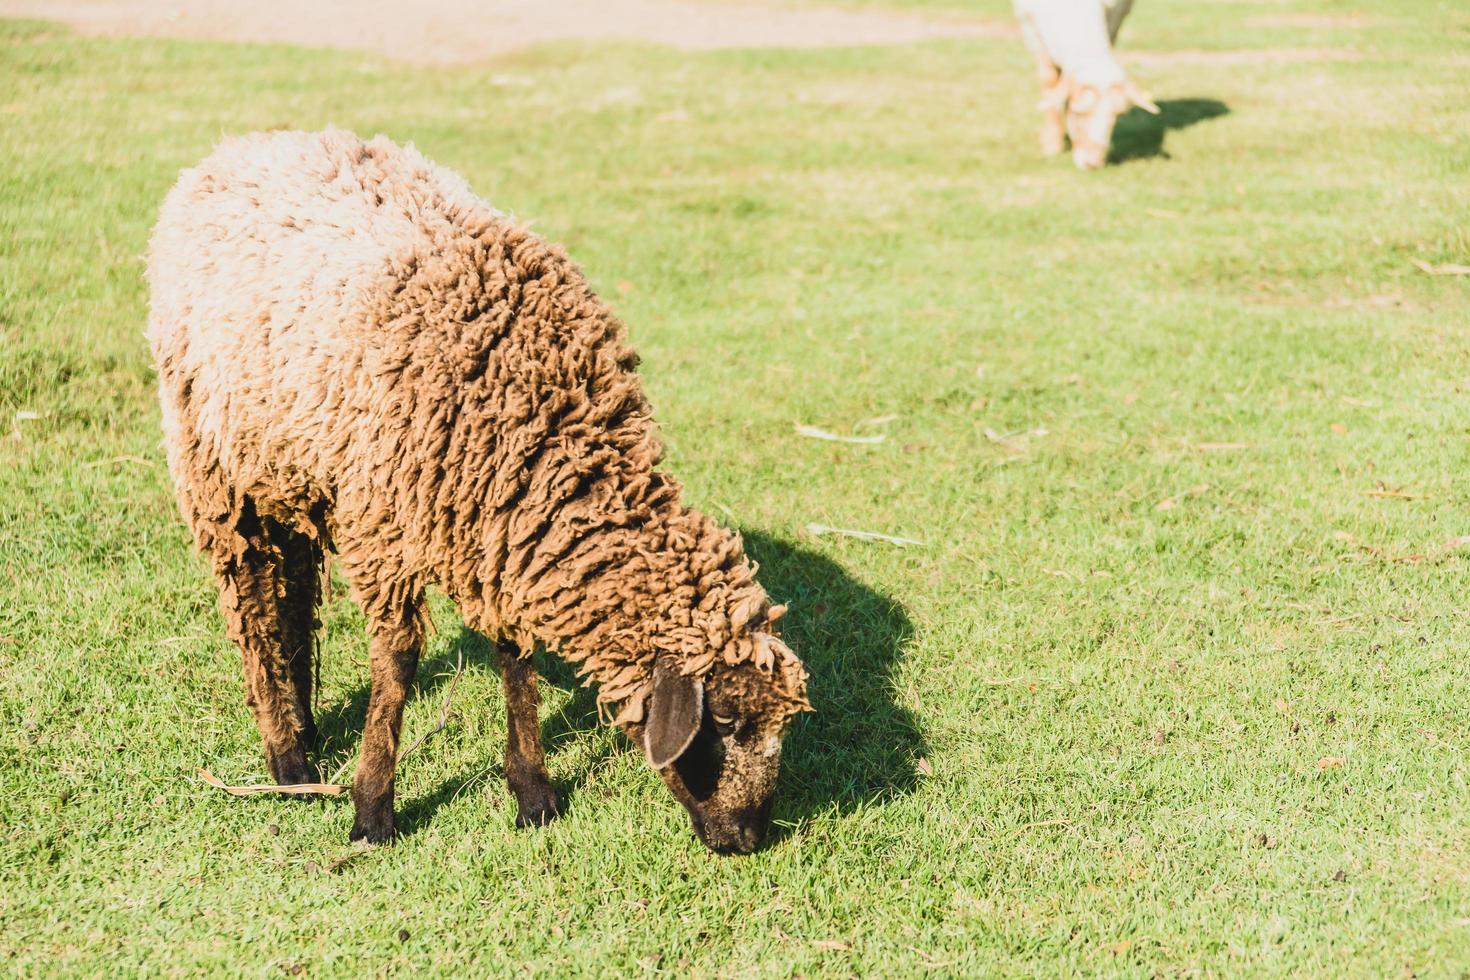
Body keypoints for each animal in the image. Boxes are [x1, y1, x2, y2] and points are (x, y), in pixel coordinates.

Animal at [146, 128, 817, 852]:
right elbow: (397, 663)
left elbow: (514, 657)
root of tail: (238, 146)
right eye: (723, 721)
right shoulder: (385, 528)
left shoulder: (501, 529)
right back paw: (288, 757)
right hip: (215, 466)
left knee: (291, 590)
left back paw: (307, 724)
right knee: (251, 603)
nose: (748, 837)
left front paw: (533, 793)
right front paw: (372, 809)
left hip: (294, 468)